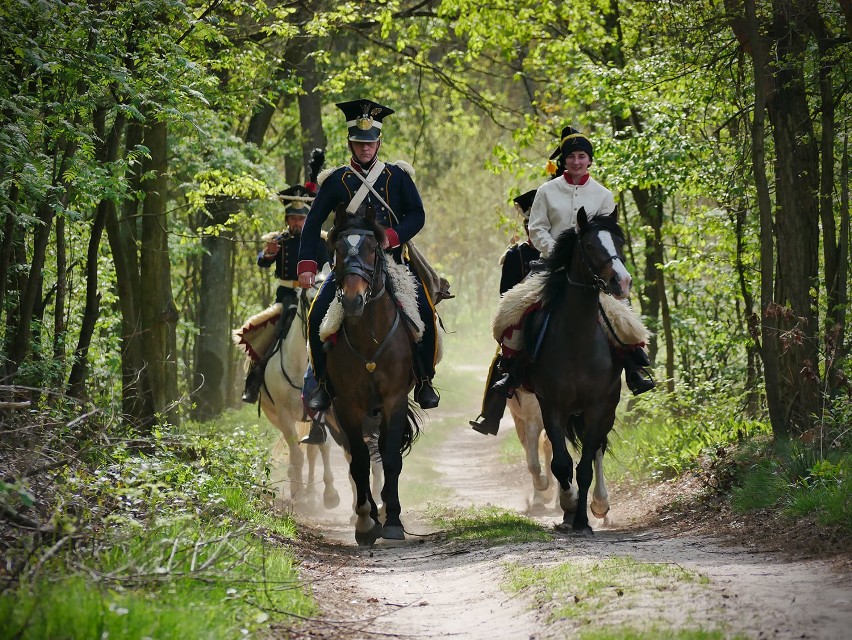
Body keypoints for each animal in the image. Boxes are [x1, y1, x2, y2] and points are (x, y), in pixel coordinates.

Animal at [324, 205, 422, 544]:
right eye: (339, 250)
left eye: (371, 249)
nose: (353, 300)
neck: (370, 336)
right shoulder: (346, 406)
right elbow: (359, 462)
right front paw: (366, 522)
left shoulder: (394, 400)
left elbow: (390, 458)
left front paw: (392, 520)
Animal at [510, 384, 608, 520]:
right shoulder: (531, 421)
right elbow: (534, 465)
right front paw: (545, 492)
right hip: (520, 420)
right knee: (532, 454)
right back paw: (540, 499)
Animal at [524, 206, 632, 536]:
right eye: (590, 246)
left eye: (619, 243)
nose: (623, 282)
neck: (577, 339)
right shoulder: (551, 406)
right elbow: (561, 464)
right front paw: (570, 506)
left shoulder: (597, 407)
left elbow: (584, 467)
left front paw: (583, 519)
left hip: (604, 409)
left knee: (596, 450)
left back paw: (599, 503)